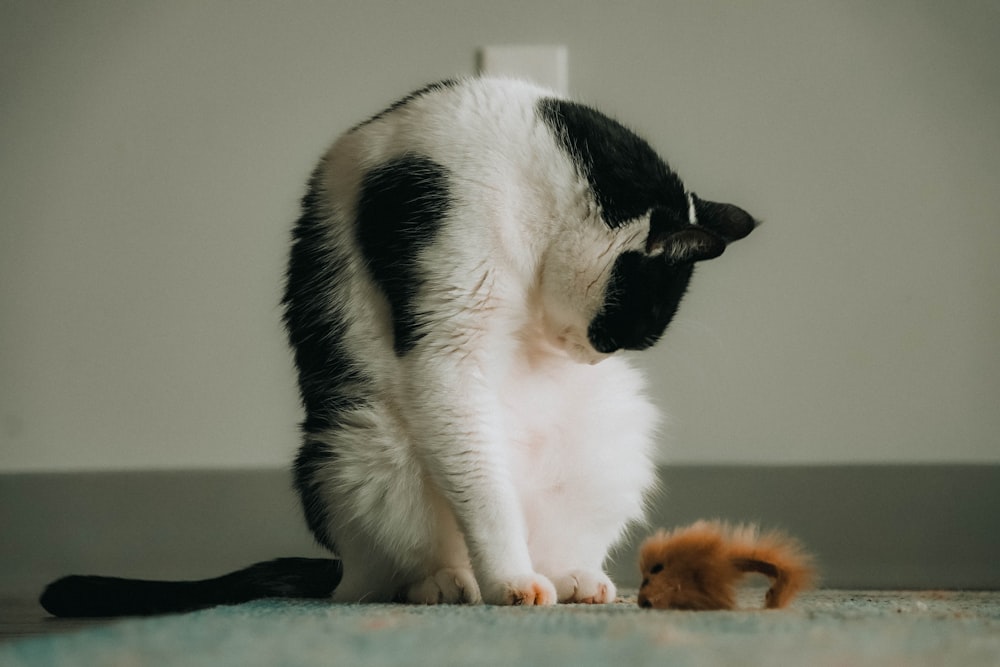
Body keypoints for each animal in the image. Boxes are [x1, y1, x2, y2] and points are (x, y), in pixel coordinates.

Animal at [39, 77, 756, 616]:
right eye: (635, 323)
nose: (593, 358)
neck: (526, 170)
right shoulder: (446, 339)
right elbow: (485, 492)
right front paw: (511, 583)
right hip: (365, 444)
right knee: (386, 574)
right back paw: (447, 582)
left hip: (613, 433)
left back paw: (574, 575)